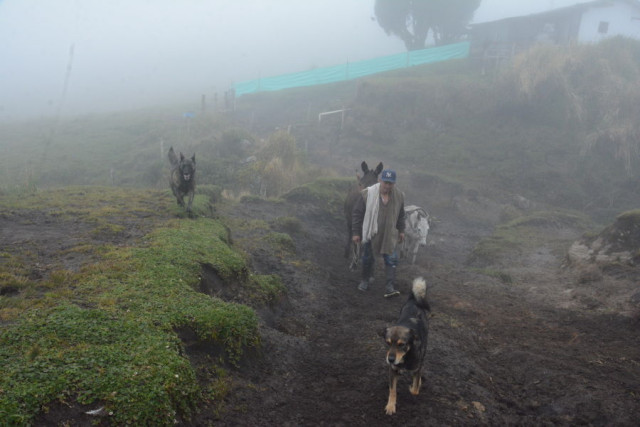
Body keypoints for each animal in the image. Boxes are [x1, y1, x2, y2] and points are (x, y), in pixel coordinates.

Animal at [380, 278, 430, 414]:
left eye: (402, 344)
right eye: (387, 343)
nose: (390, 359)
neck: (406, 356)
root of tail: (414, 299)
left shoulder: (417, 369)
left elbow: (415, 390)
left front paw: (413, 386)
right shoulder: (392, 370)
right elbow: (392, 390)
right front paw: (391, 406)